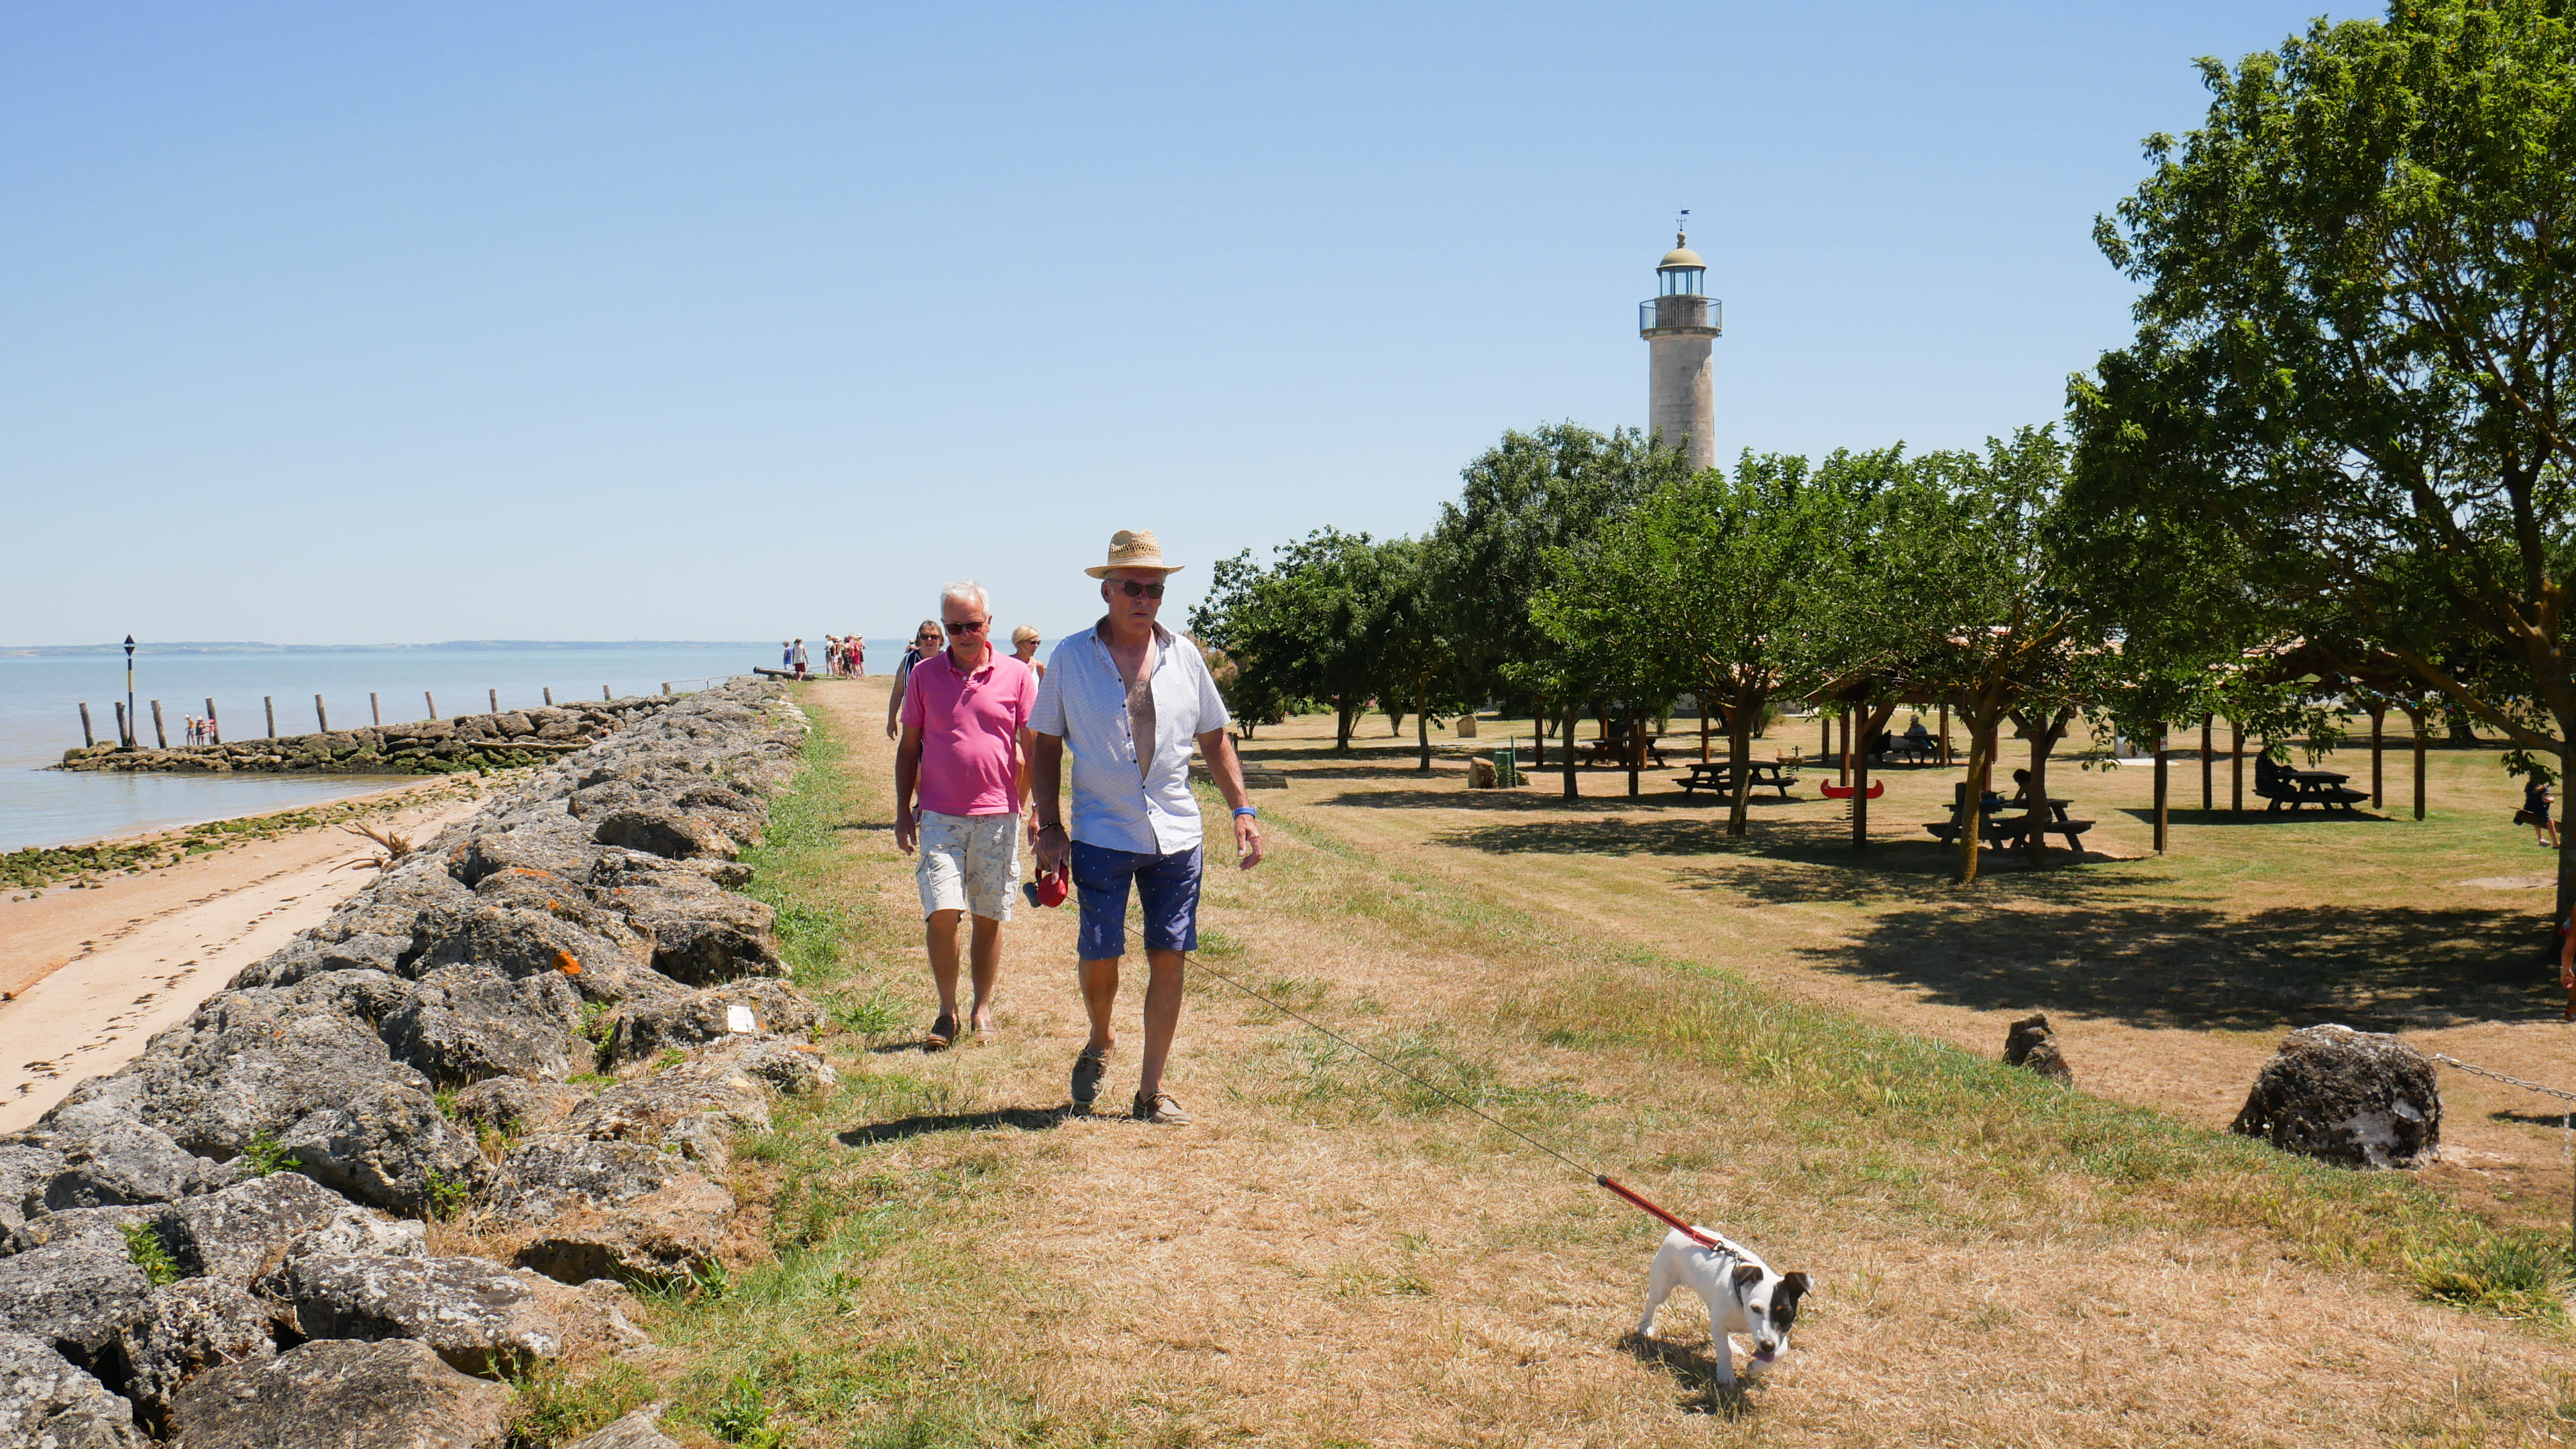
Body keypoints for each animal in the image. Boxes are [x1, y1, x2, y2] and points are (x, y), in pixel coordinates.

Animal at [1627, 1222, 1813, 1382]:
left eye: (1786, 1312)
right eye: (1755, 1308)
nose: (1767, 1346)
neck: (1742, 1305)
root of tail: (1680, 1231)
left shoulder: (1775, 1334)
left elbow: (1782, 1349)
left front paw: (1756, 1367)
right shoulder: (1721, 1322)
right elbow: (1724, 1352)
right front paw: (1726, 1376)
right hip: (1663, 1283)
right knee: (1652, 1303)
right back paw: (1646, 1326)